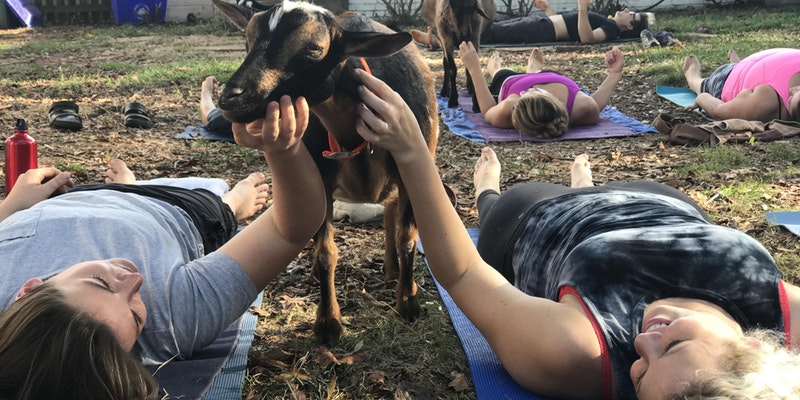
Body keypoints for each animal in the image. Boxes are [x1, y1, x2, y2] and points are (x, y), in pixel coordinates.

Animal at [209, 0, 440, 344]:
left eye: (313, 49)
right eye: (247, 42)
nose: (230, 98)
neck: (352, 137)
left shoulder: (411, 165)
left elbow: (408, 238)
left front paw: (408, 304)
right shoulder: (321, 180)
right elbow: (326, 253)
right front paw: (328, 322)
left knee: (391, 214)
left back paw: (395, 273)